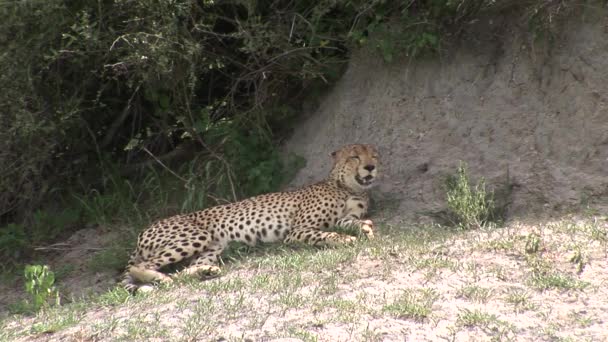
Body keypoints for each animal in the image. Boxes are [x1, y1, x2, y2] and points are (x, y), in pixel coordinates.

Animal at [121, 144, 380, 292]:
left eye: (374, 156)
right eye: (355, 157)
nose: (370, 167)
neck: (348, 187)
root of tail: (144, 230)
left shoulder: (344, 218)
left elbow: (356, 222)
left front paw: (365, 229)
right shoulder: (297, 230)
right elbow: (327, 234)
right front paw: (345, 239)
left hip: (213, 246)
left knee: (184, 270)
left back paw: (205, 271)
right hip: (195, 236)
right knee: (139, 266)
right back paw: (161, 278)